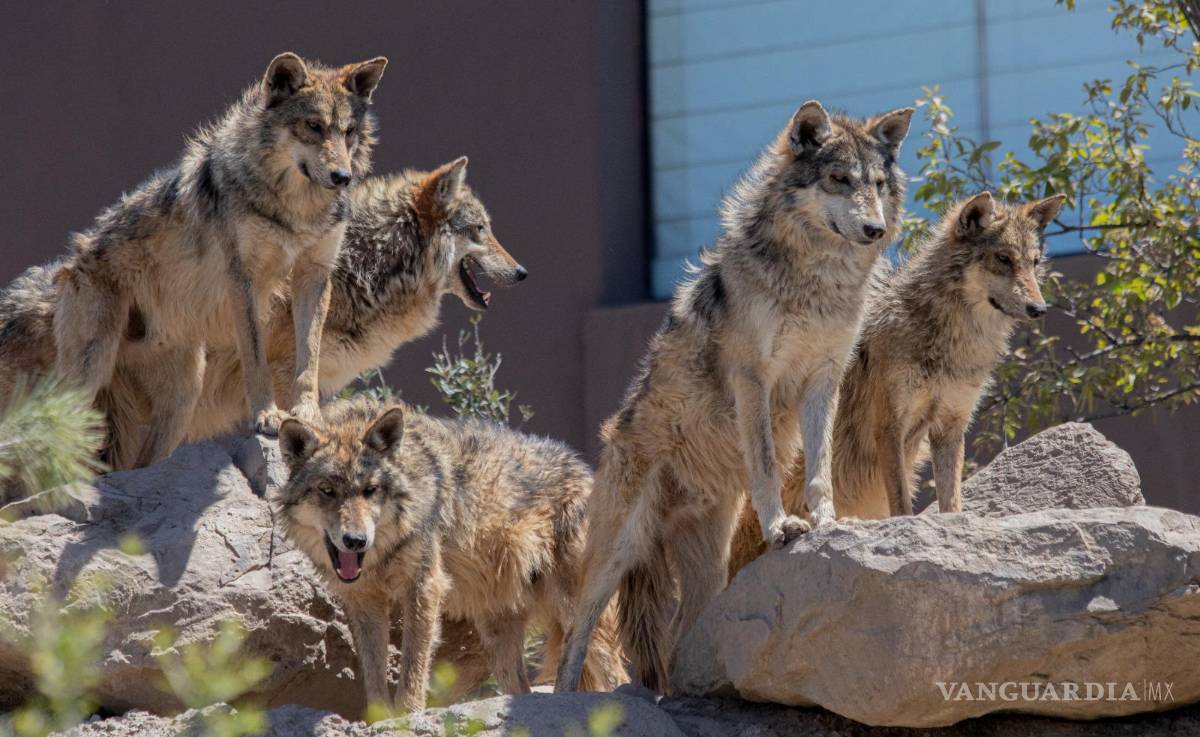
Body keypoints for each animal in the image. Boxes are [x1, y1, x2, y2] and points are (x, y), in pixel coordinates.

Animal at [51, 52, 387, 469]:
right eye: (313, 126)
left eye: (348, 131)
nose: (342, 176)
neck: (297, 210)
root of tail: (72, 261)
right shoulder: (242, 279)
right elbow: (256, 359)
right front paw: (267, 415)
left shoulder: (314, 275)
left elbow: (309, 356)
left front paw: (308, 415)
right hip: (89, 378)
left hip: (182, 400)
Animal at [277, 398, 624, 712]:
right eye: (326, 491)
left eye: (370, 490)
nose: (356, 541)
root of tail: (585, 470)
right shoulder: (364, 601)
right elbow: (374, 674)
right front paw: (378, 720)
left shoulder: (425, 587)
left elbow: (413, 665)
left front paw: (407, 715)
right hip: (497, 635)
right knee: (521, 691)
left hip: (581, 619)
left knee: (617, 679)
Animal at [555, 101, 913, 693]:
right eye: (839, 180)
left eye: (878, 185)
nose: (874, 228)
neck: (816, 281)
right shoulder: (754, 380)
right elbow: (766, 464)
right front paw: (781, 528)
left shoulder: (824, 378)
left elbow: (819, 467)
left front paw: (829, 522)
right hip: (616, 551)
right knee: (575, 637)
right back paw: (565, 700)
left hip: (707, 569)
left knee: (682, 635)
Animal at [727, 191, 1065, 575]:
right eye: (1003, 259)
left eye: (1033, 263)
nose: (1039, 308)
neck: (951, 341)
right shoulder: (889, 427)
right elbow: (902, 506)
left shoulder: (950, 428)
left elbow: (952, 504)